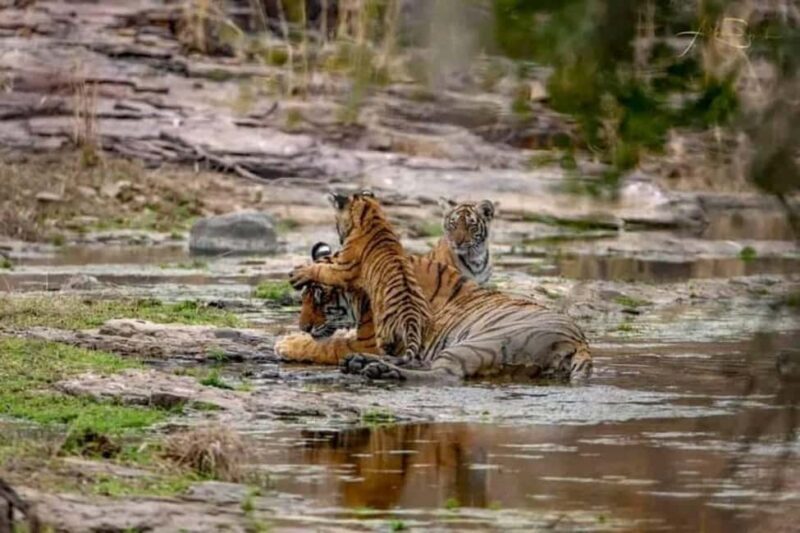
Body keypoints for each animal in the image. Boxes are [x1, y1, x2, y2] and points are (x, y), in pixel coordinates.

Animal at [277, 242, 593, 383]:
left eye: (320, 297)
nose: (304, 327)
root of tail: (578, 341)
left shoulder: (367, 340)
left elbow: (327, 345)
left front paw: (287, 342)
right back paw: (363, 364)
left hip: (480, 343)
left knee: (443, 374)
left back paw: (376, 368)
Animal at [289, 191, 431, 364]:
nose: (304, 329)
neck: (373, 217)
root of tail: (411, 318)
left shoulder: (343, 268)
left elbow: (321, 269)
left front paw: (299, 274)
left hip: (382, 334)